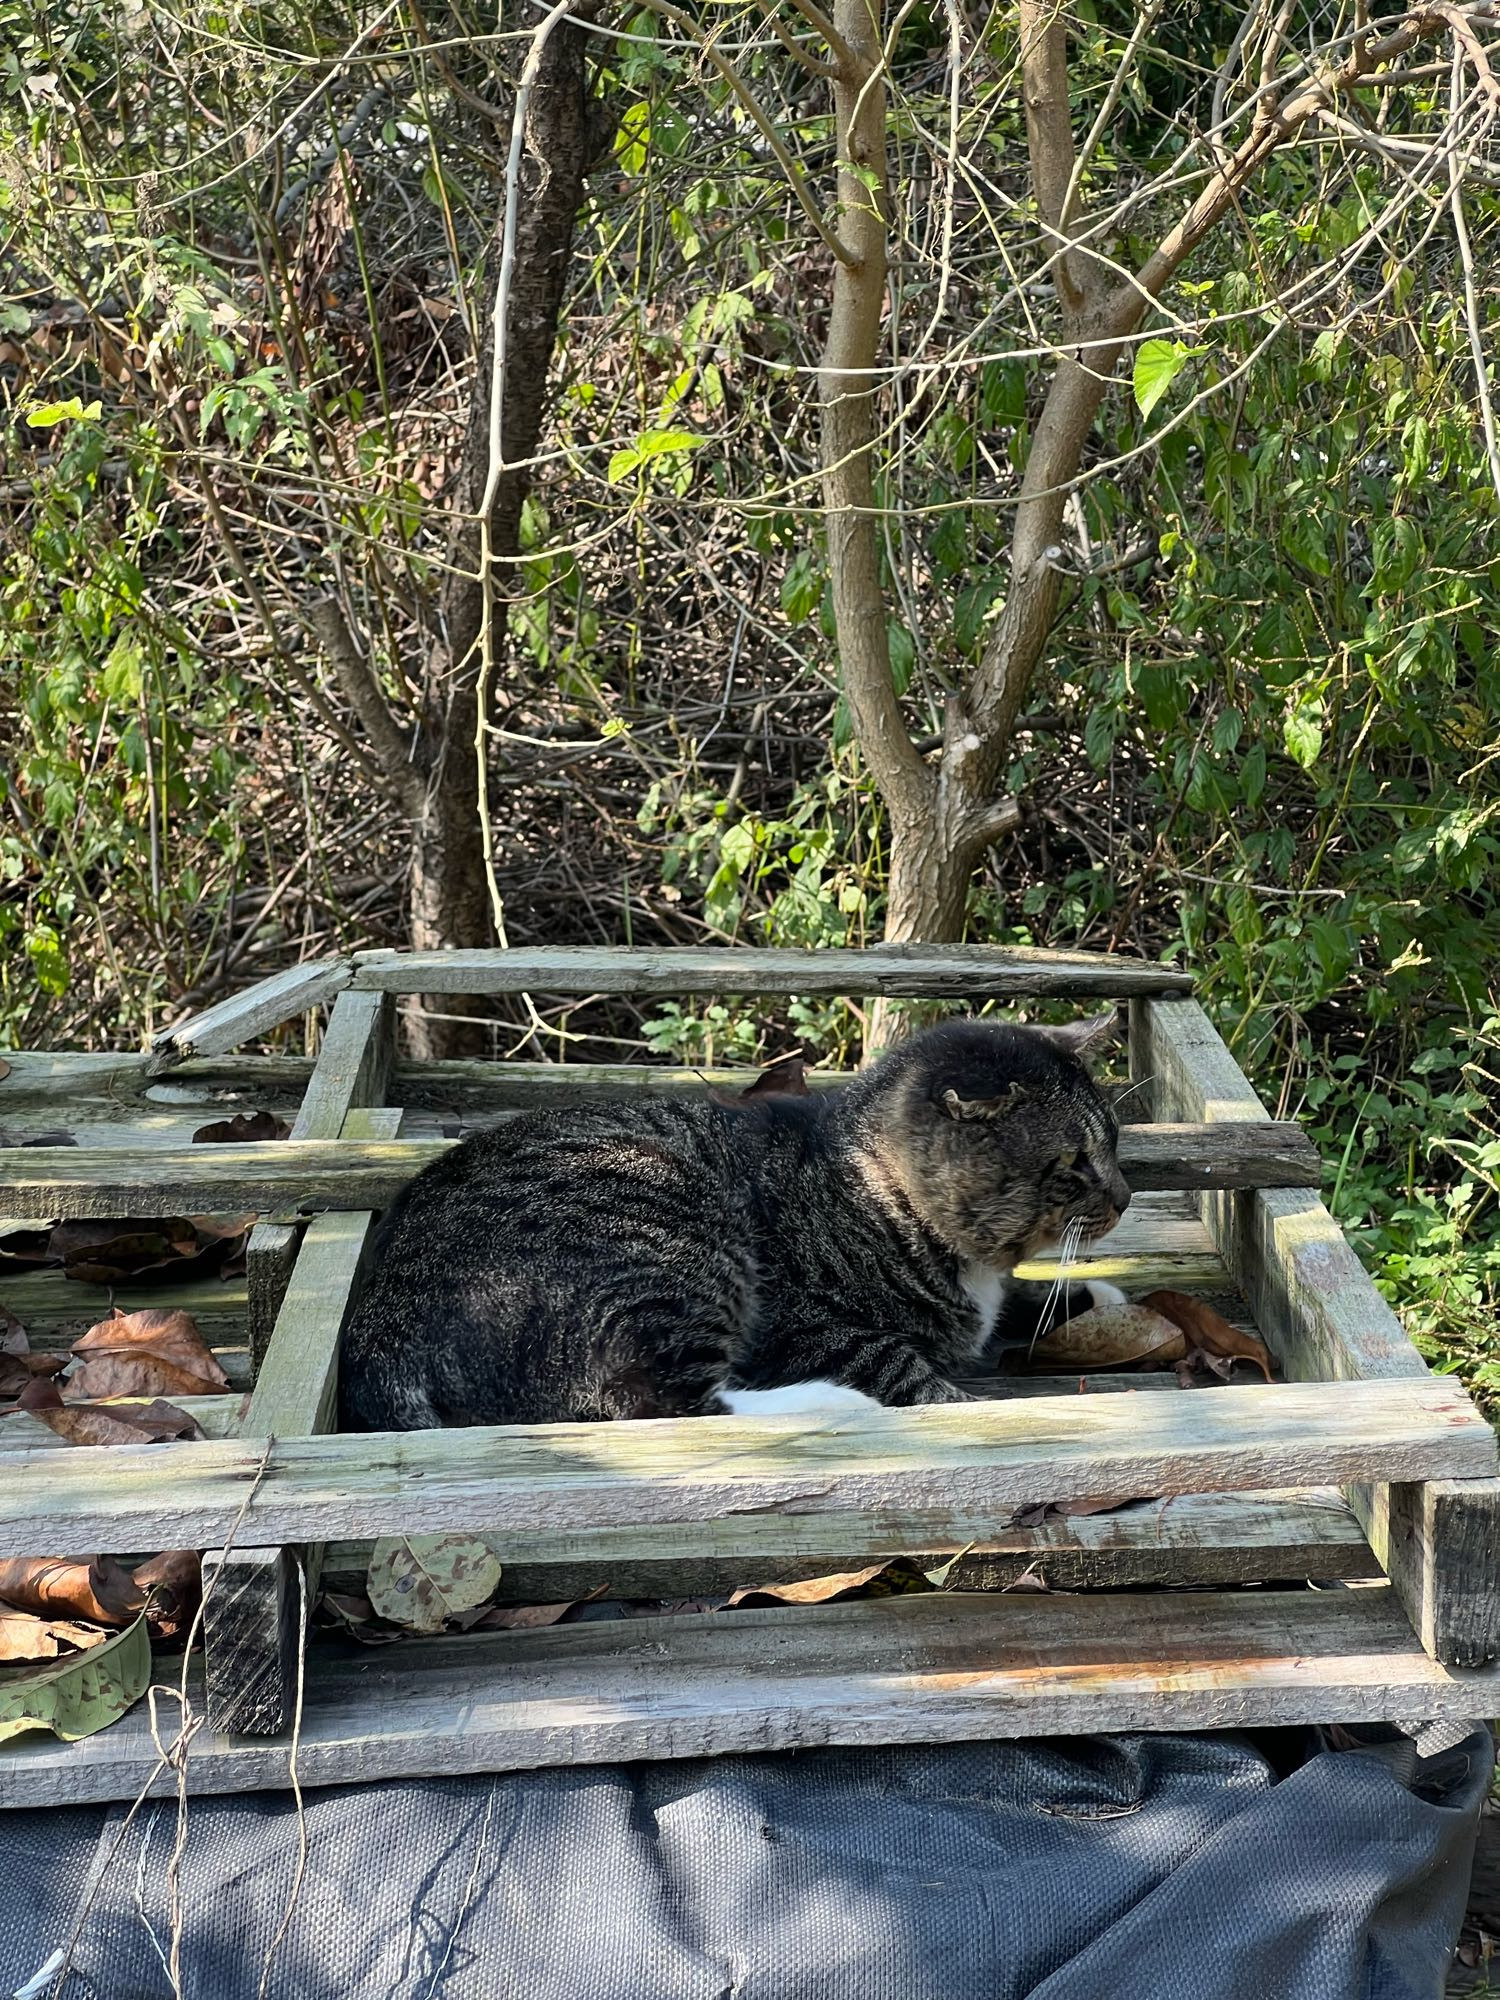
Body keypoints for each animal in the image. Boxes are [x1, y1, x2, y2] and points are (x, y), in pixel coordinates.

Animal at [340, 1016, 1136, 1440]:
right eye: (1073, 1163)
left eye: (1117, 1139)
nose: (1126, 1197)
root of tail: (381, 1330)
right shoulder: (804, 1328)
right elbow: (904, 1367)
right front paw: (965, 1405)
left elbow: (1026, 1302)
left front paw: (1104, 1300)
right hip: (661, 1222)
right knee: (661, 1403)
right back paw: (833, 1402)